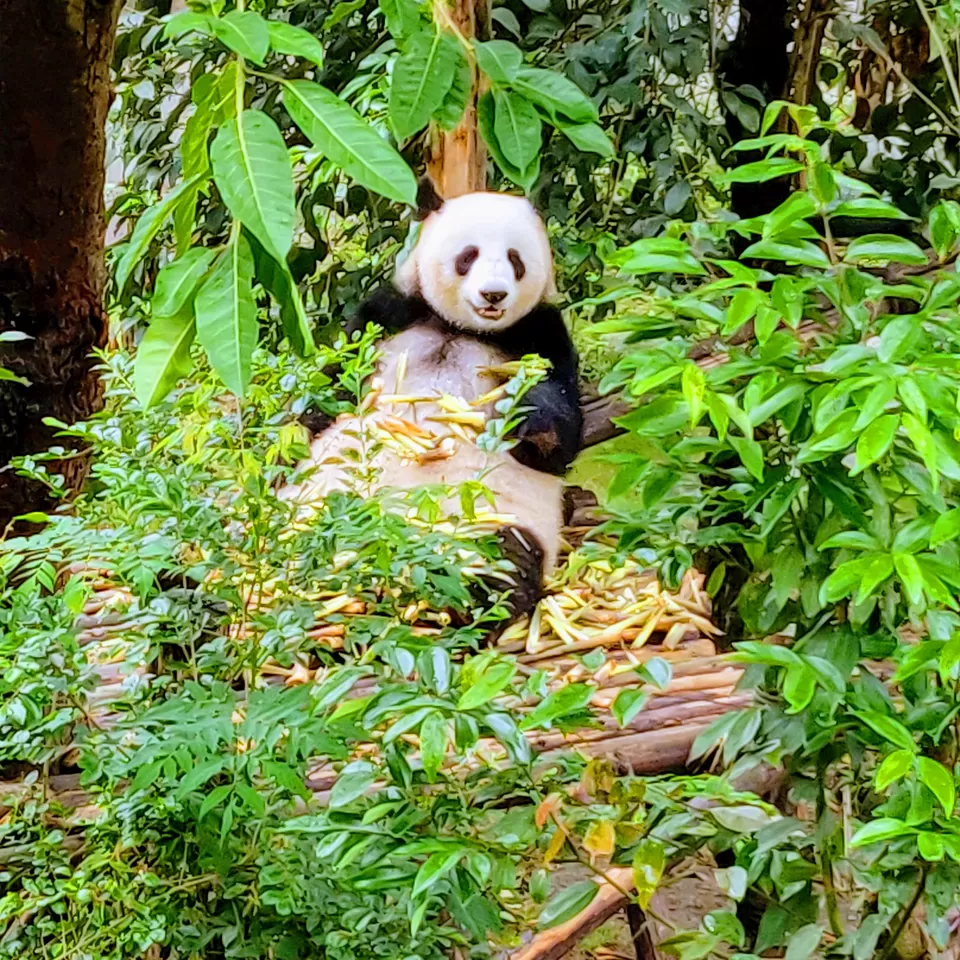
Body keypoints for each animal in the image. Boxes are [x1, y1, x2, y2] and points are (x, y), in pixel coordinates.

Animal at [281, 181, 583, 620]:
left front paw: (529, 421)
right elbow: (334, 386)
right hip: (314, 507)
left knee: (503, 564)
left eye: (515, 260)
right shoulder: (389, 315)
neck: (461, 328)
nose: (494, 295)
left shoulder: (541, 333)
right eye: (468, 256)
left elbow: (560, 436)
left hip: (488, 522)